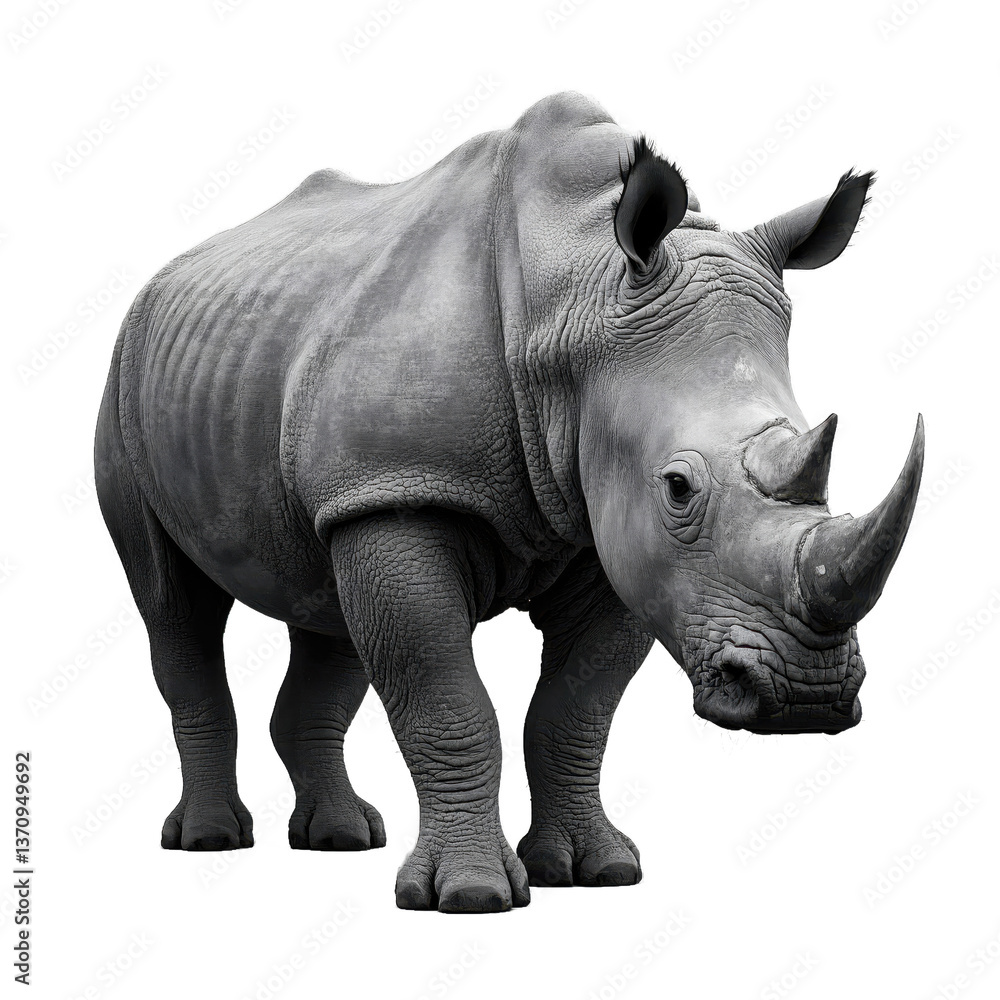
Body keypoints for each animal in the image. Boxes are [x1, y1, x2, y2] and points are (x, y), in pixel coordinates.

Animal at [95, 92, 923, 913]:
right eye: (679, 487)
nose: (808, 696)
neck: (575, 298)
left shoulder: (608, 536)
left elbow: (575, 710)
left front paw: (596, 872)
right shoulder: (403, 489)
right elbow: (445, 699)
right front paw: (470, 894)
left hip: (289, 402)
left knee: (326, 606)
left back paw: (340, 839)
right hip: (129, 381)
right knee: (174, 605)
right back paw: (209, 840)